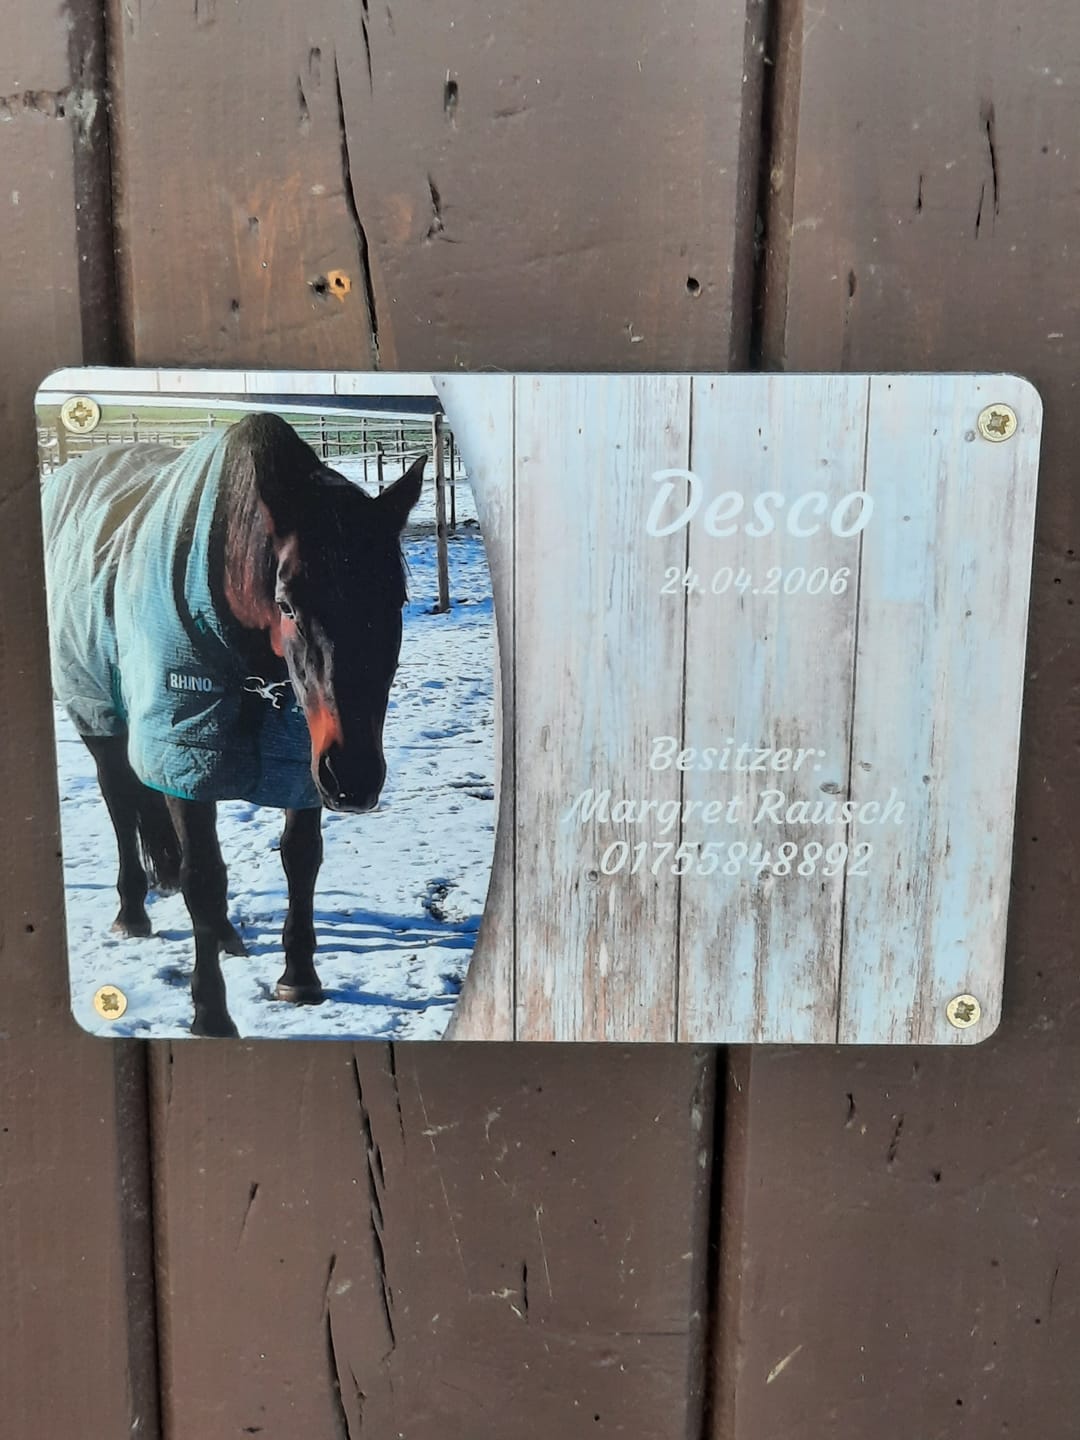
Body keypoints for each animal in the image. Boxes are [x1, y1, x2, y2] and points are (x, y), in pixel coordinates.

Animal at [42, 412, 424, 1037]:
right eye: (288, 603)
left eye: (396, 600)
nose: (355, 777)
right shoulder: (185, 748)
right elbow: (202, 875)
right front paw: (211, 1015)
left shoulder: (300, 759)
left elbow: (300, 857)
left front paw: (300, 979)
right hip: (99, 716)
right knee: (122, 805)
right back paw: (132, 912)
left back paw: (221, 932)